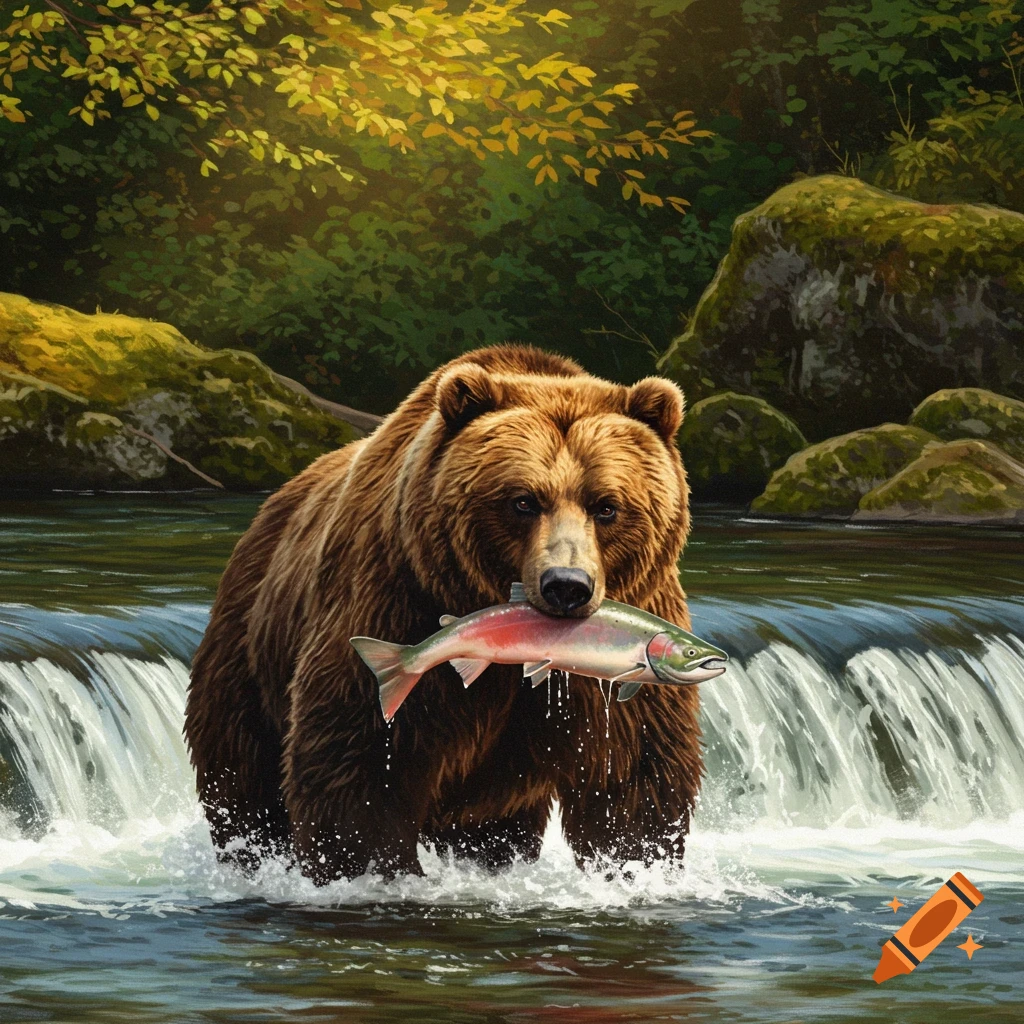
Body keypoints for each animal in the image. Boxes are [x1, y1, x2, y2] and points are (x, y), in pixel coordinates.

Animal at [185, 344, 701, 882]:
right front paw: (370, 870)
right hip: (248, 652)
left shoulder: (621, 650)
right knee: (243, 777)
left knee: (494, 825)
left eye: (606, 506)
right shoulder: (397, 597)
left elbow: (633, 775)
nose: (566, 586)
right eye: (522, 501)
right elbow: (361, 762)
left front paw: (633, 867)